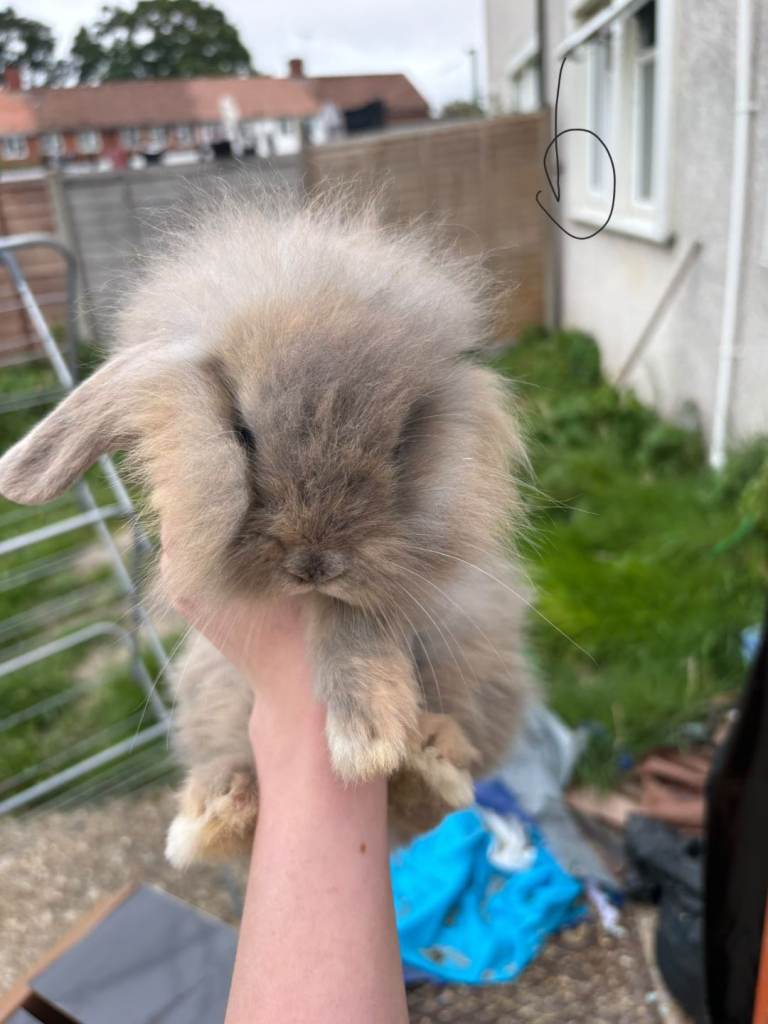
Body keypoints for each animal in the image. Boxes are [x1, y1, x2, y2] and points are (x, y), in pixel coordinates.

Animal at [0, 193, 535, 868]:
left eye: (398, 447)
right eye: (244, 435)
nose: (314, 563)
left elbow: (352, 621)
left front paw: (369, 738)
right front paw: (371, 737)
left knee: (431, 796)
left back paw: (429, 755)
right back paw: (211, 812)